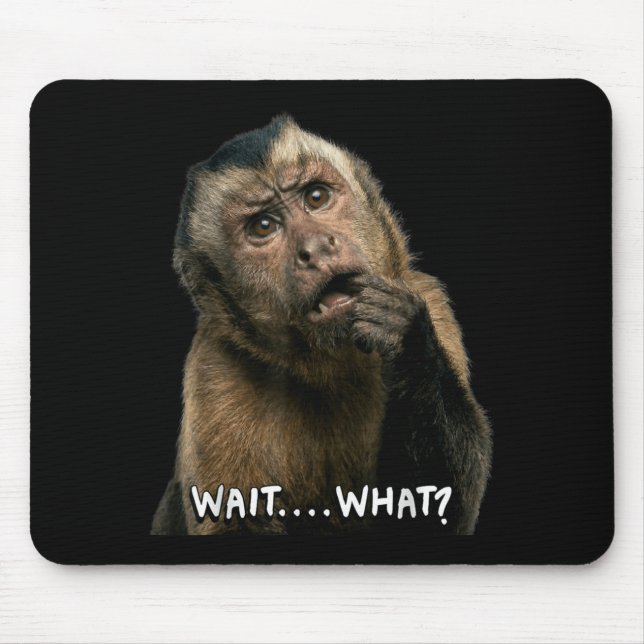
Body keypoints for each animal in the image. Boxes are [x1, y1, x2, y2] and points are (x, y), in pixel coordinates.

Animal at [151, 115, 492, 536]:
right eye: (263, 226)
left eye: (316, 197)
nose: (314, 248)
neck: (328, 365)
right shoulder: (216, 369)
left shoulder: (428, 299)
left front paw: (407, 341)